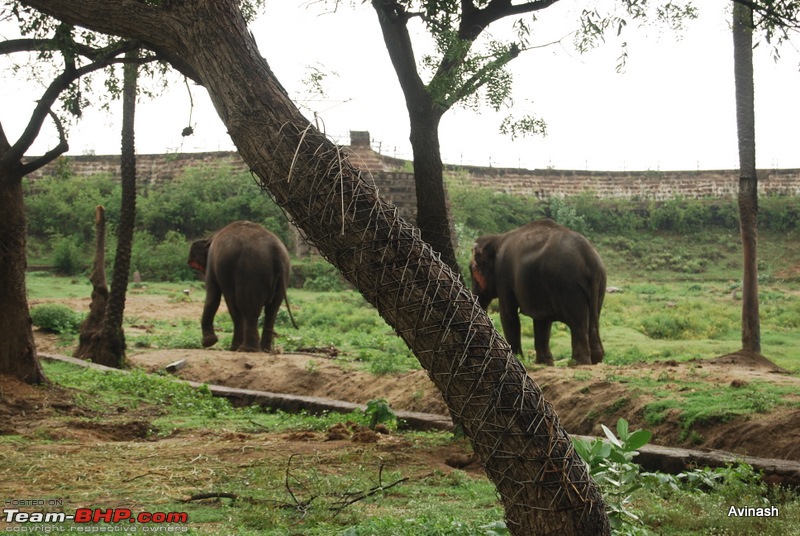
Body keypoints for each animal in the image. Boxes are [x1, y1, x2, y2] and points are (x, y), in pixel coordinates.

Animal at [188, 220, 296, 354]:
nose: (205, 342)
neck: (210, 238)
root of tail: (275, 249)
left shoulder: (212, 263)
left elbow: (215, 297)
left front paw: (212, 343)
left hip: (251, 271)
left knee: (247, 307)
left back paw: (246, 349)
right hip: (284, 273)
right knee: (272, 310)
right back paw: (264, 349)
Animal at [468, 218, 608, 364]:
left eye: (471, 269)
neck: (498, 238)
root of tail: (589, 259)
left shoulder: (503, 275)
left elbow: (508, 315)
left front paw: (517, 358)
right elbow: (542, 321)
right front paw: (545, 362)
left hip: (571, 286)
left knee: (578, 322)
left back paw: (578, 363)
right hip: (599, 285)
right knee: (593, 318)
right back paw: (596, 359)